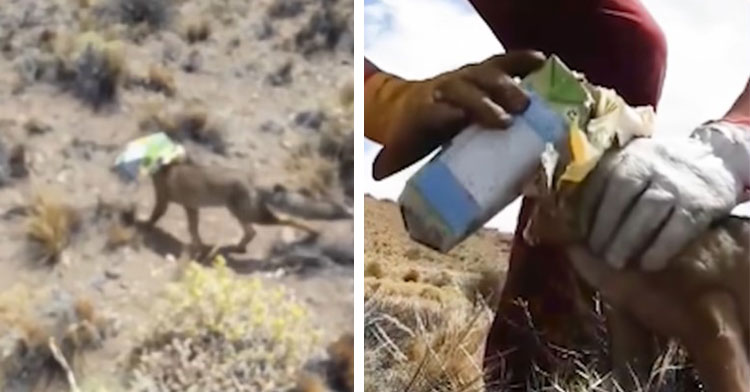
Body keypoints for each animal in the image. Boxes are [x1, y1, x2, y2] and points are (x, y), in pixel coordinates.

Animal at [144, 160, 352, 254]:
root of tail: (253, 182)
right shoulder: (191, 208)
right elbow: (193, 230)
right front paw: (200, 247)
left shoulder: (163, 200)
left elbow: (154, 217)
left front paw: (143, 225)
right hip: (240, 214)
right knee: (252, 232)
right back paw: (237, 247)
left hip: (250, 215)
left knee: (286, 219)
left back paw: (313, 233)